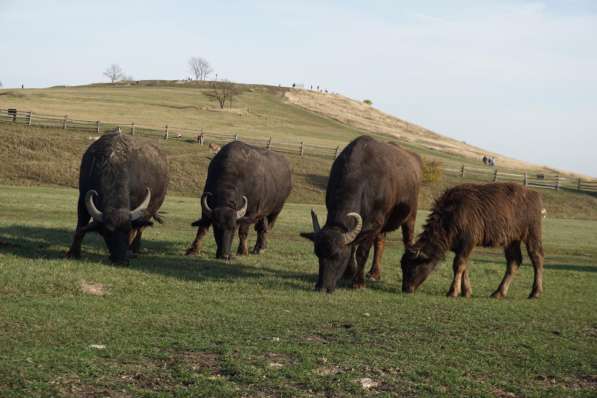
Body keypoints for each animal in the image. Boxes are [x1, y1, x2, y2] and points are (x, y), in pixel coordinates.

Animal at [66, 131, 168, 266]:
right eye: (108, 232)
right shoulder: (82, 198)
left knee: (140, 228)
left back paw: (134, 250)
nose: (121, 261)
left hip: (151, 208)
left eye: (127, 230)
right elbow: (81, 224)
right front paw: (73, 253)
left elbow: (135, 230)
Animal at [300, 135, 422, 294]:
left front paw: (358, 282)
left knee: (408, 239)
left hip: (410, 216)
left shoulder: (374, 225)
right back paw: (374, 273)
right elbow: (353, 247)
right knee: (380, 243)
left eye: (338, 255)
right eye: (318, 254)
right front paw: (348, 273)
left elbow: (361, 252)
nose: (322, 287)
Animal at [400, 183, 544, 298]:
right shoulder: (461, 248)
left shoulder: (468, 242)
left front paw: (453, 291)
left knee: (537, 258)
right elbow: (464, 267)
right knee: (514, 262)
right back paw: (499, 292)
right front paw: (466, 292)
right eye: (403, 266)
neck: (451, 215)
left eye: (413, 267)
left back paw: (535, 292)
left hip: (532, 234)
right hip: (512, 240)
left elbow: (458, 265)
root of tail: (534, 195)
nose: (406, 289)